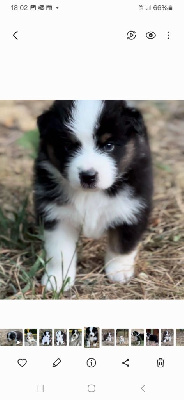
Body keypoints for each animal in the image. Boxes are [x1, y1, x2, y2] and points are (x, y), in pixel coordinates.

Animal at [34, 101, 152, 292]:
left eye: (109, 145)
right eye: (68, 146)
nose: (88, 176)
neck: (90, 194)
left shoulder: (132, 207)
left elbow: (123, 244)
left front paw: (118, 271)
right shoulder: (56, 214)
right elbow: (59, 251)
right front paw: (57, 279)